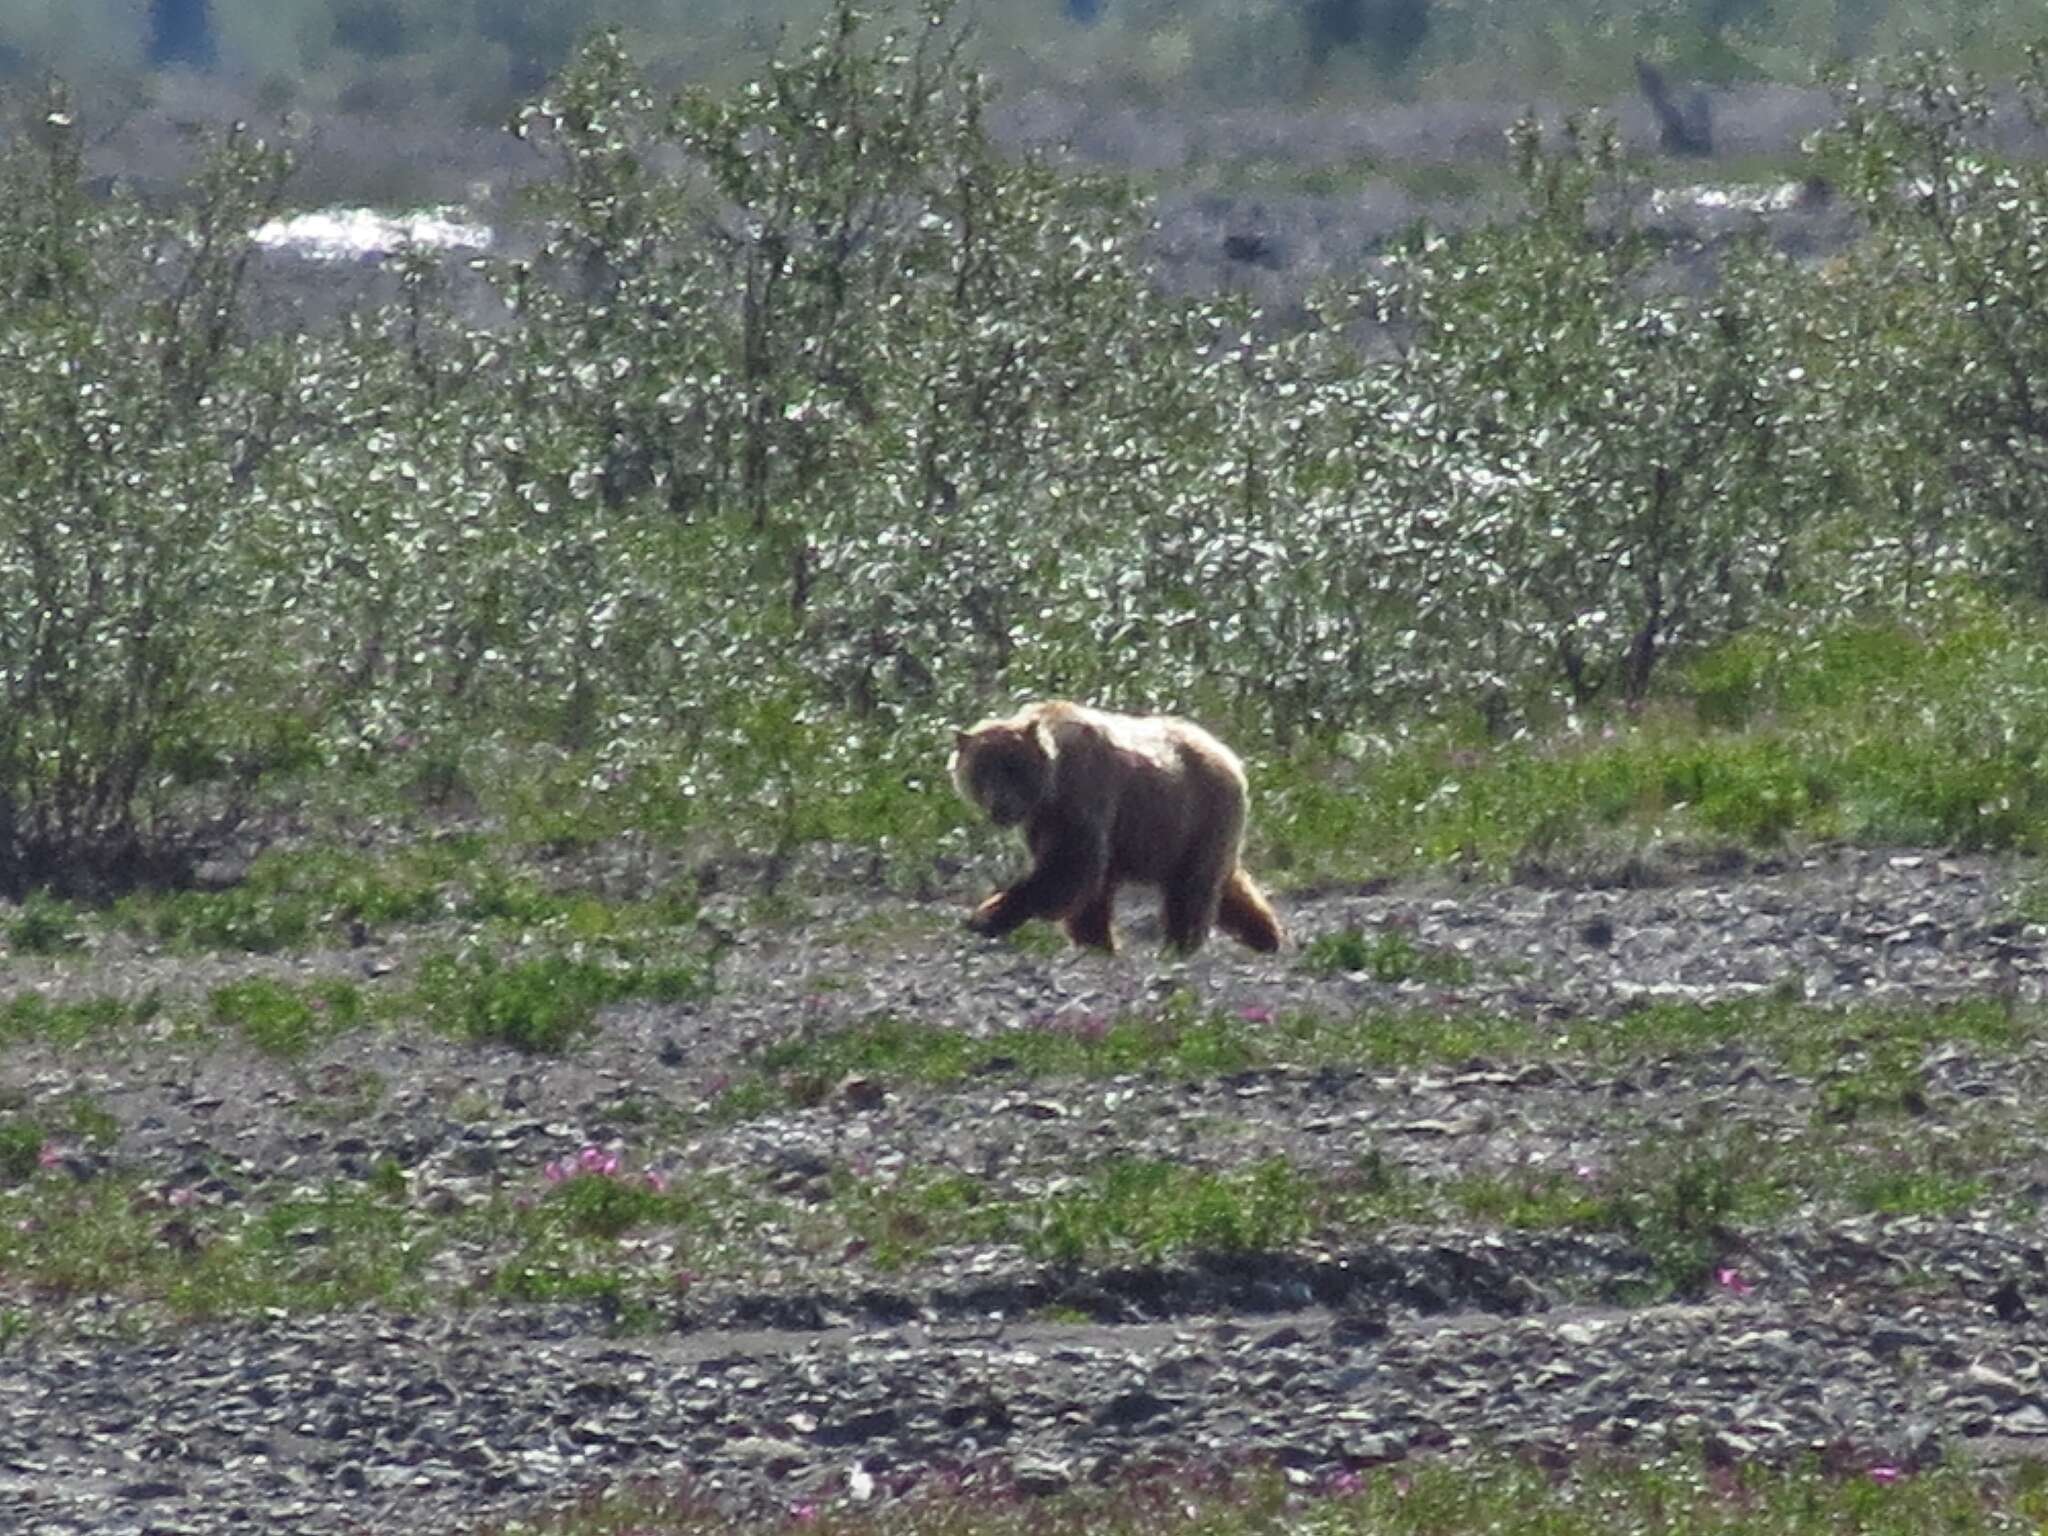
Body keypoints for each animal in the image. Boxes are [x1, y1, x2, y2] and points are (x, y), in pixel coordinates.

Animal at [946, 704, 1277, 958]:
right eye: (982, 771)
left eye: (1013, 769)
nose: (1000, 805)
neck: (1051, 787)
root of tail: (1227, 754)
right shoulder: (1041, 820)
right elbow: (1087, 885)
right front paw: (1095, 942)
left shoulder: (1083, 792)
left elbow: (1069, 867)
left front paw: (986, 916)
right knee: (1229, 885)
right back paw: (1267, 936)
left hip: (1199, 814)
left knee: (1192, 887)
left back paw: (1180, 945)